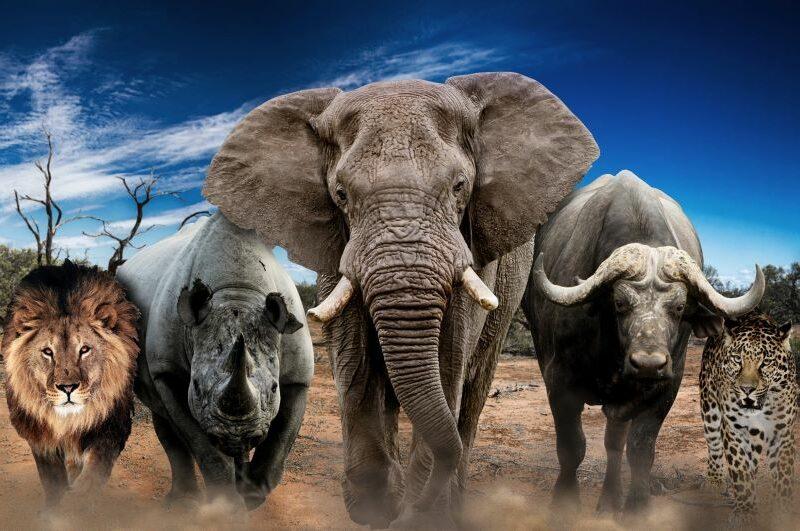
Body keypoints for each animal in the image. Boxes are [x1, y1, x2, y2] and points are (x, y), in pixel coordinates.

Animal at [2, 259, 139, 509]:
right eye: (48, 352)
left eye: (84, 349)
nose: (67, 388)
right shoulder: (41, 438)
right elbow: (53, 481)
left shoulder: (111, 427)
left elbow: (92, 476)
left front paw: (74, 505)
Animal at [203, 72, 599, 526]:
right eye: (340, 194)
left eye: (460, 186)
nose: (416, 504)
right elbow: (353, 357)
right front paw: (376, 507)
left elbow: (448, 360)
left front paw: (420, 514)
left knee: (474, 390)